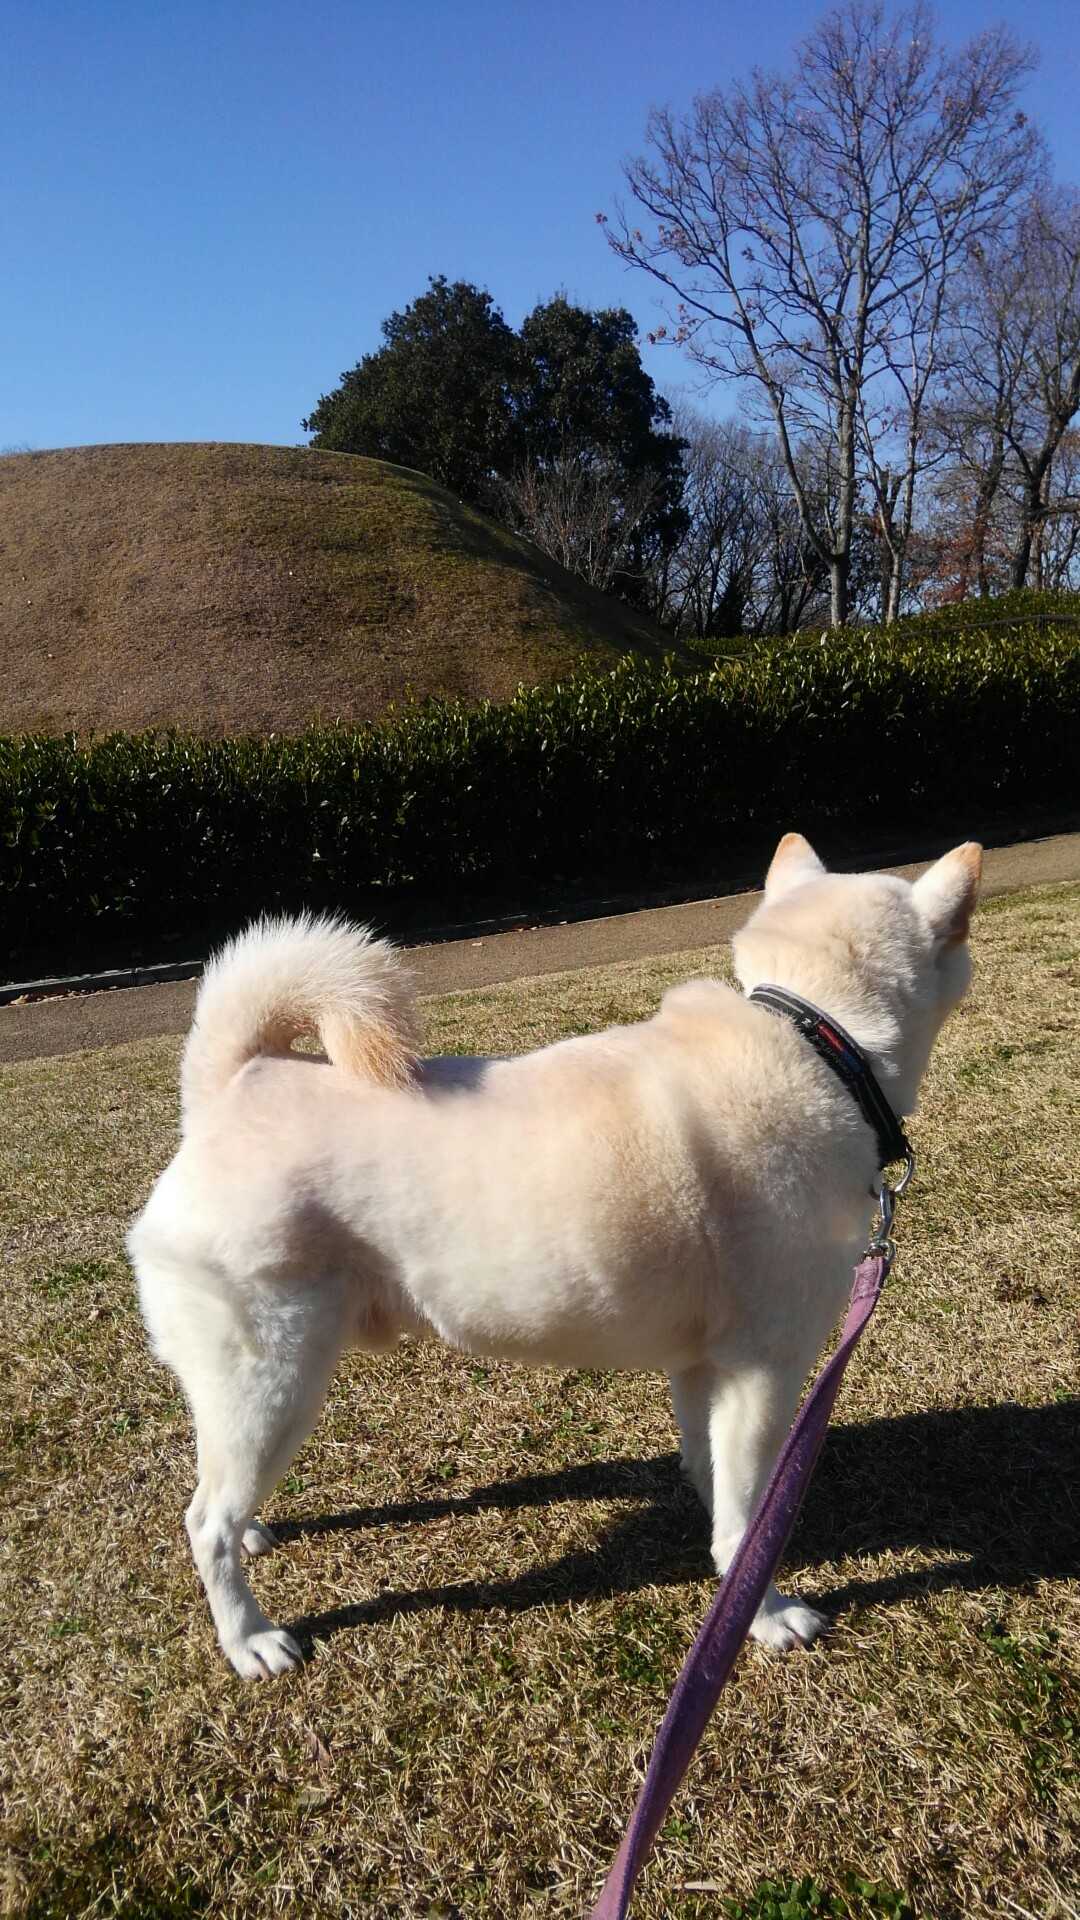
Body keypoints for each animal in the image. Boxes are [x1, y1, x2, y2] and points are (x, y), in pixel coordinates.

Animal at [128, 833, 982, 1679]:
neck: (818, 1038)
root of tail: (231, 1087)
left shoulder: (703, 1367)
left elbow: (712, 1480)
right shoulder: (765, 1372)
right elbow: (750, 1525)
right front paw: (761, 1615)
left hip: (250, 1394)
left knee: (221, 1492)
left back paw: (251, 1534)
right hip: (274, 1382)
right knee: (202, 1520)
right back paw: (248, 1638)